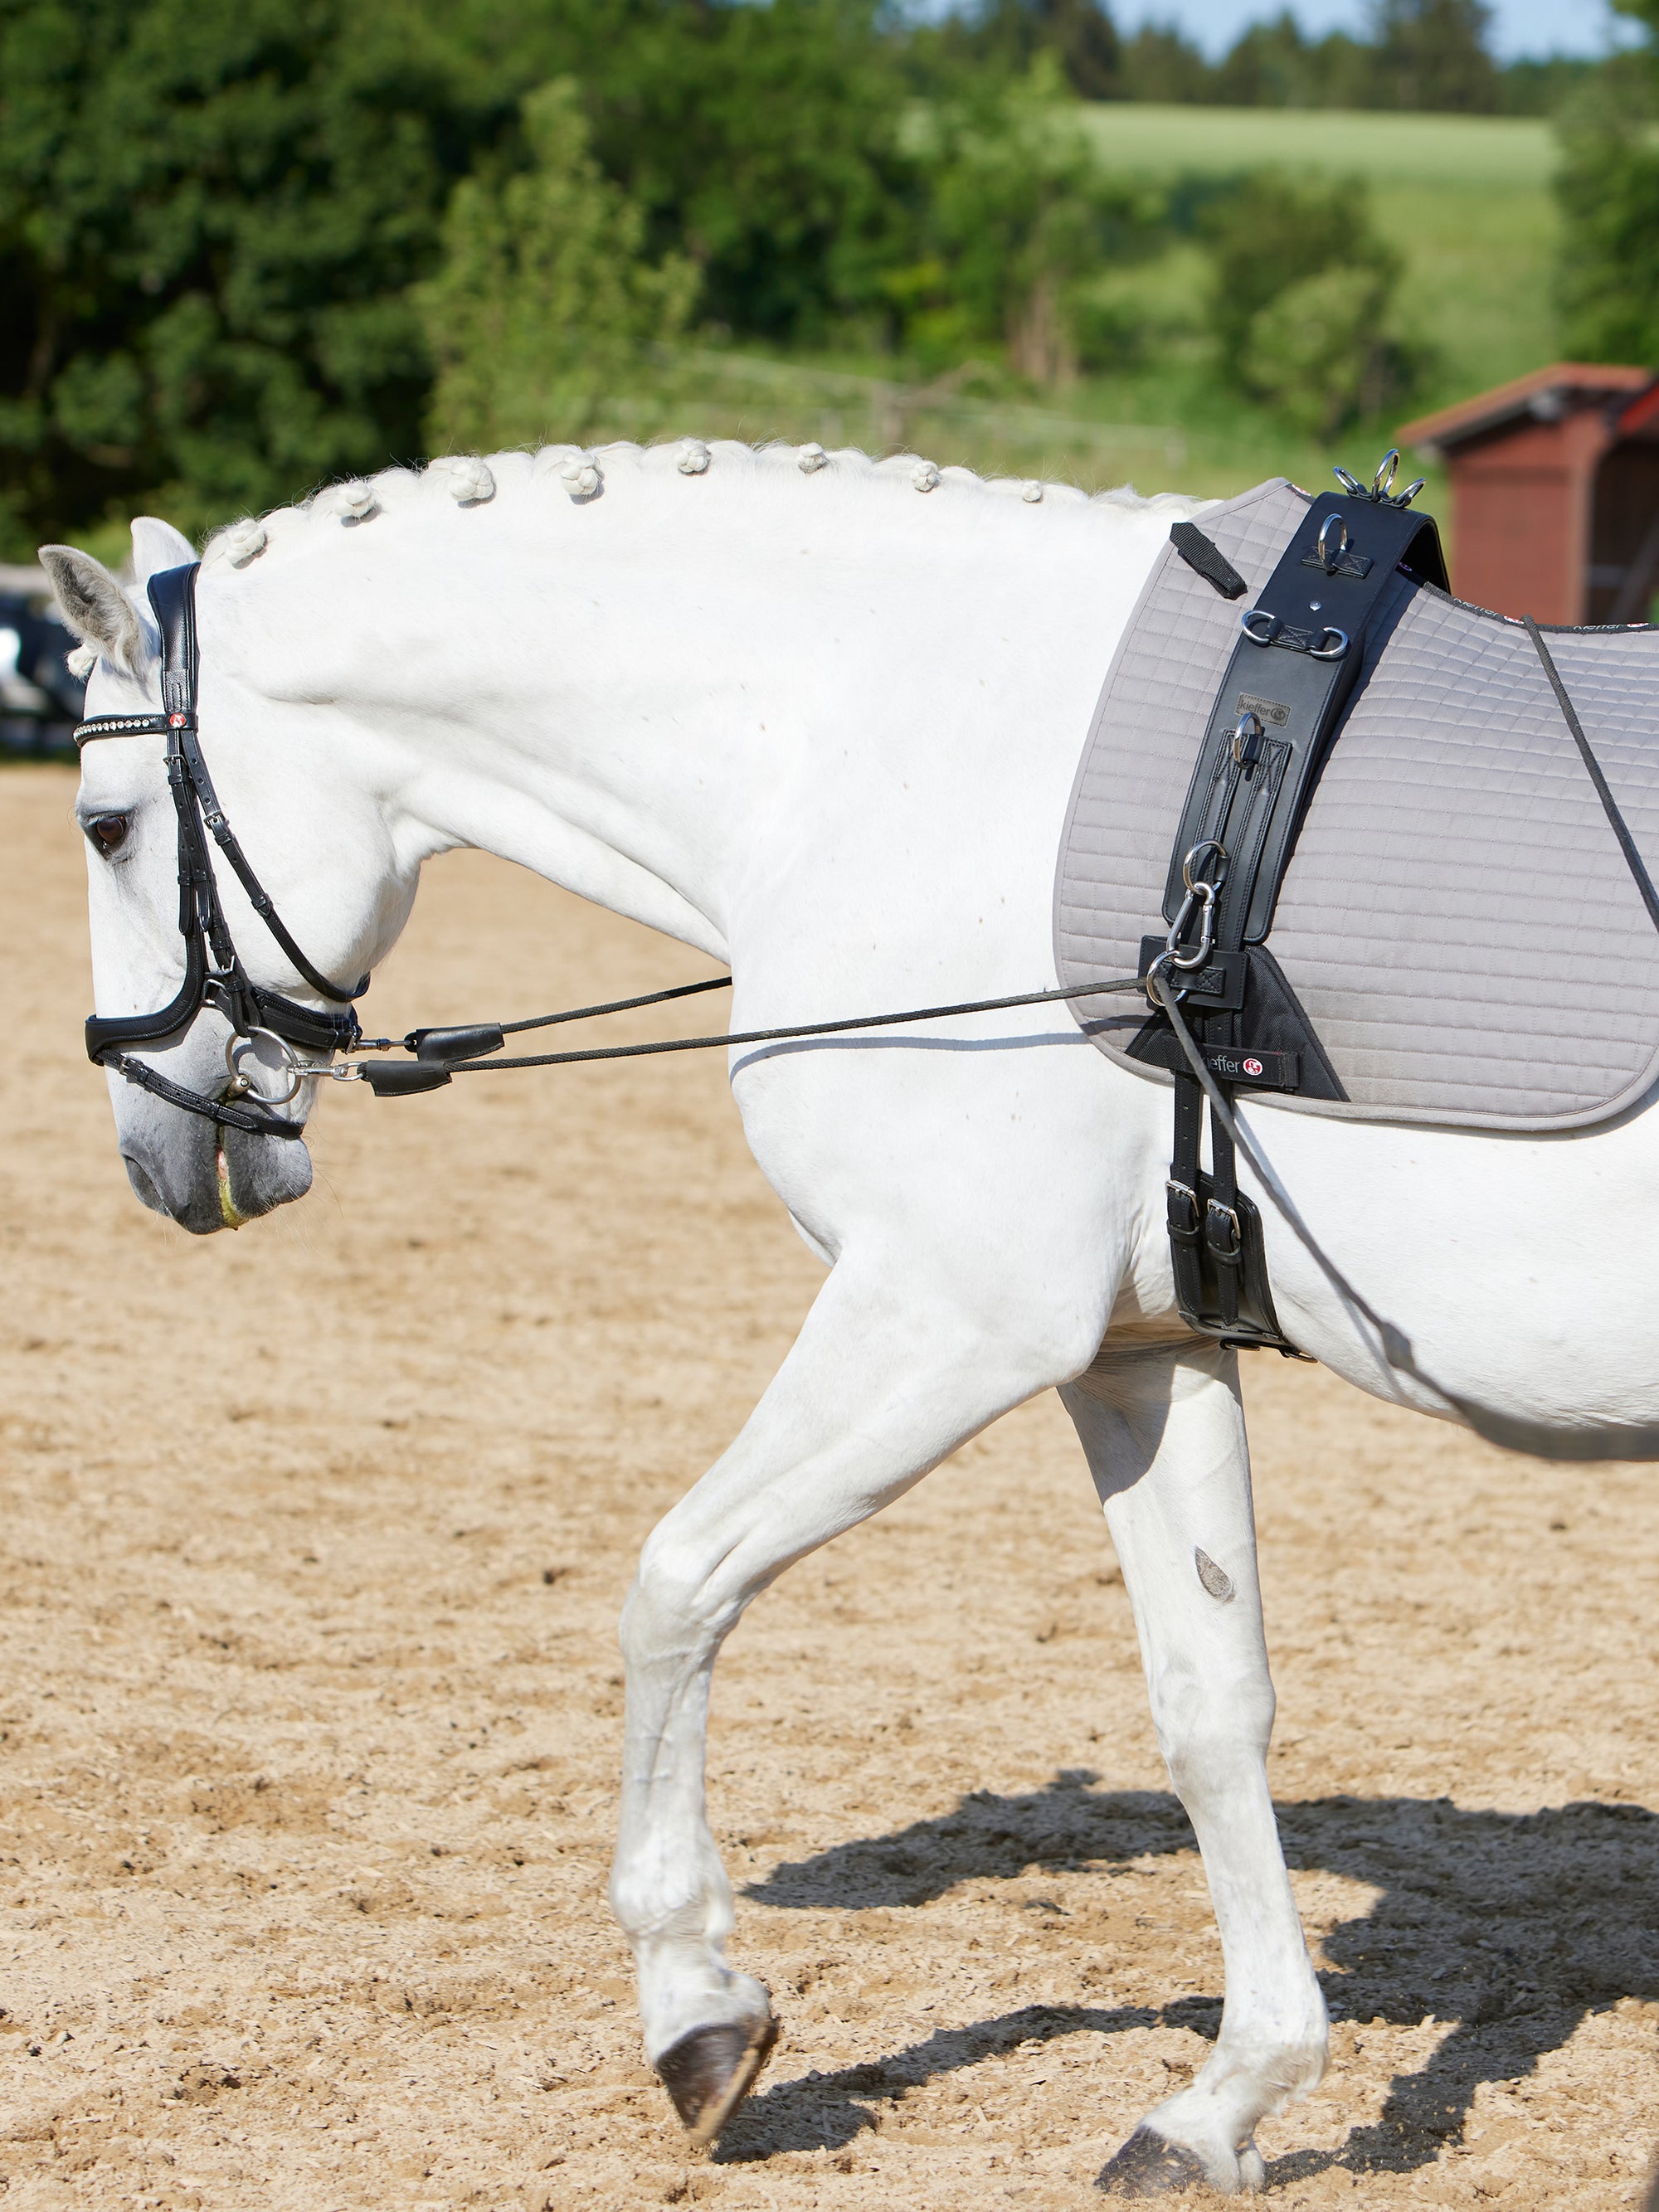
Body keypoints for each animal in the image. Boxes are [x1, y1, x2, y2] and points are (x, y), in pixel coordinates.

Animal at [41, 440, 1659, 2195]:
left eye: (108, 825)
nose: (154, 1143)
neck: (902, 749)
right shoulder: (1136, 1355)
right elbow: (1211, 1707)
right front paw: (1227, 2095)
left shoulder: (944, 1316)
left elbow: (674, 1586)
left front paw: (699, 2016)